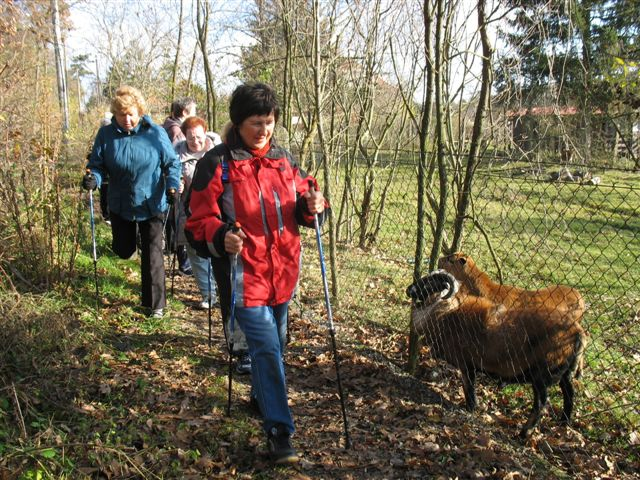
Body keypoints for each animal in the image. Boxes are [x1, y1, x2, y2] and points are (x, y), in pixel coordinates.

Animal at [408, 270, 588, 438]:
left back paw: (524, 433)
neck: (447, 312)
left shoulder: (466, 364)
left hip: (541, 374)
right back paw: (564, 422)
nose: (408, 290)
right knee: (569, 394)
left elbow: (468, 387)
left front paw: (470, 408)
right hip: (565, 373)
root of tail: (578, 333)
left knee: (541, 403)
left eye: (429, 283)